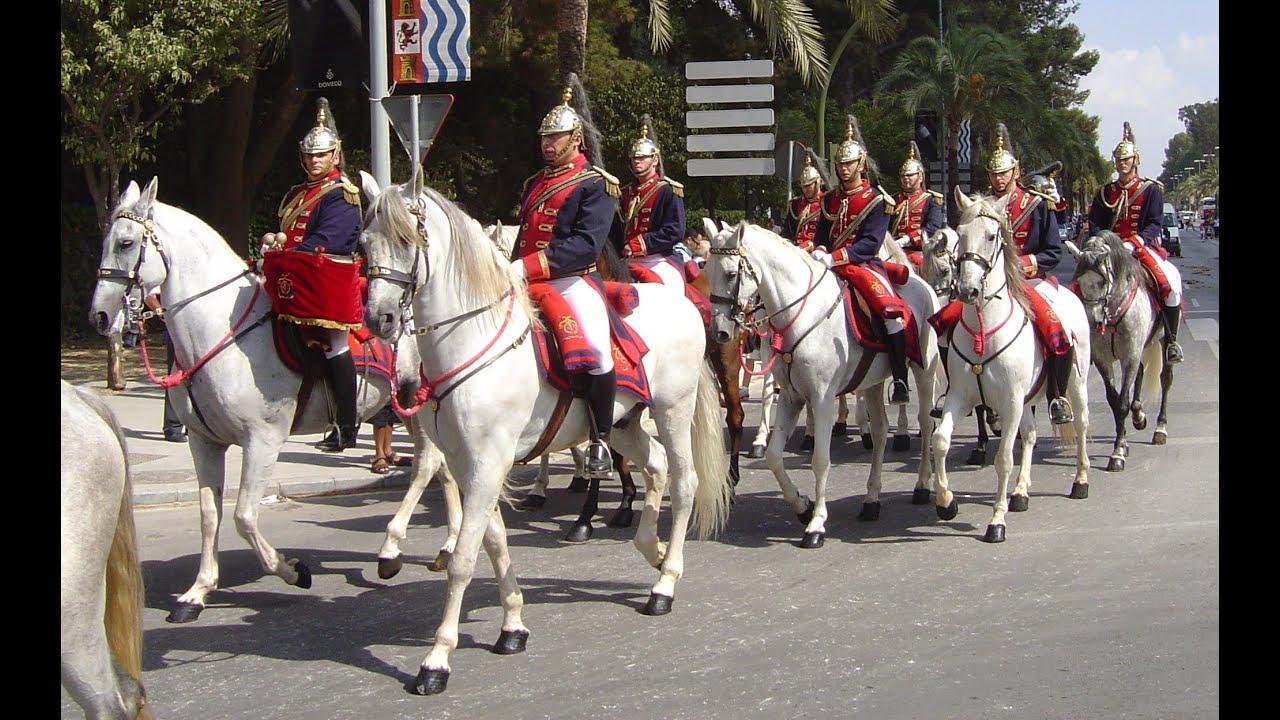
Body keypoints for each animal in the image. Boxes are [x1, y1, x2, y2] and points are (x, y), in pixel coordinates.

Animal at [88, 176, 450, 620]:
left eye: (125, 243)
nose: (100, 316)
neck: (222, 332)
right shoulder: (203, 442)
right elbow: (209, 514)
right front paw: (197, 592)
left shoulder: (262, 439)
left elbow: (244, 515)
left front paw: (292, 570)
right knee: (445, 468)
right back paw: (447, 549)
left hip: (417, 401)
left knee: (427, 466)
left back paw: (390, 550)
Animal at [358, 170, 732, 691]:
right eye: (363, 243)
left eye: (408, 238)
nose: (380, 318)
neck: (471, 340)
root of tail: (684, 303)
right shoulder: (469, 464)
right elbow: (493, 541)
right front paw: (513, 625)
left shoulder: (488, 463)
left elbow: (464, 560)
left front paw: (436, 659)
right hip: (622, 424)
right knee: (655, 467)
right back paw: (651, 550)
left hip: (674, 411)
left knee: (684, 481)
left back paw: (665, 583)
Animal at [701, 219, 942, 543]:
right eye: (706, 272)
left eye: (729, 274)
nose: (719, 331)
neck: (801, 313)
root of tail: (917, 281)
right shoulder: (792, 397)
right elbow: (774, 456)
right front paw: (802, 506)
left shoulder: (822, 399)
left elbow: (820, 460)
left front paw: (816, 523)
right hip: (873, 383)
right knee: (880, 432)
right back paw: (871, 500)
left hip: (924, 370)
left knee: (926, 425)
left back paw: (922, 486)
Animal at [931, 188, 1090, 540]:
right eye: (960, 233)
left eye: (992, 236)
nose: (967, 289)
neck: (983, 328)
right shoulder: (960, 397)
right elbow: (941, 441)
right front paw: (946, 502)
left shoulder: (1011, 401)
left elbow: (1003, 457)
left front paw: (996, 521)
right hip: (1027, 398)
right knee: (1029, 435)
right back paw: (1020, 492)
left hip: (1075, 384)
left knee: (1082, 425)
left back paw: (1080, 481)